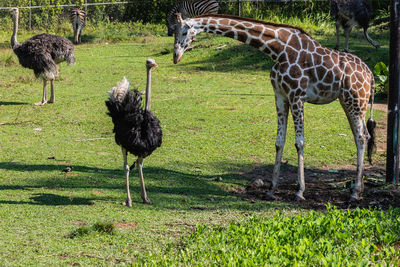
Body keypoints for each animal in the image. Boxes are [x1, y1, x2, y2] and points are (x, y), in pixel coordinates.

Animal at [172, 12, 376, 201]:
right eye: (173, 31)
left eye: (184, 31)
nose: (175, 57)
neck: (278, 50)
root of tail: (371, 76)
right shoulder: (280, 96)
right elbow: (279, 142)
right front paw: (271, 190)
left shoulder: (297, 95)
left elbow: (299, 142)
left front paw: (300, 191)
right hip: (347, 101)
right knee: (363, 135)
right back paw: (359, 189)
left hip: (356, 99)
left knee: (361, 136)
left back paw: (355, 193)